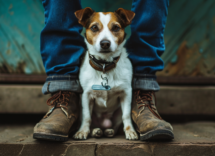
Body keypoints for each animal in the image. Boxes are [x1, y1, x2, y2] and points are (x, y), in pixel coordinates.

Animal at [73, 7, 138, 140]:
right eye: (94, 27)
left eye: (116, 28)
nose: (105, 43)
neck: (104, 65)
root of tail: (104, 124)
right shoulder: (86, 96)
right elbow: (87, 117)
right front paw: (83, 131)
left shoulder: (126, 93)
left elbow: (126, 115)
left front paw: (130, 131)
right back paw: (95, 131)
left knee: (115, 125)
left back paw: (109, 131)